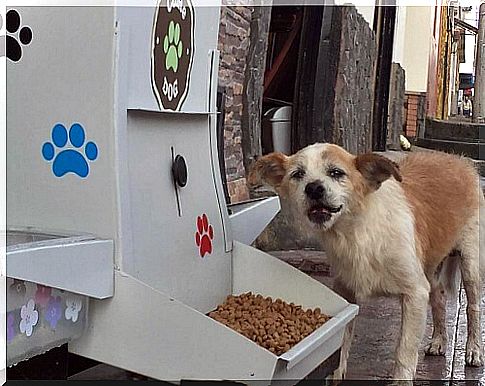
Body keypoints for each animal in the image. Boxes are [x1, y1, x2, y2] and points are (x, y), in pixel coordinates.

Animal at [248, 143, 482, 382]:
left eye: (336, 172)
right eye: (298, 174)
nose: (313, 188)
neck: (356, 233)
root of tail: (458, 159)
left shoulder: (415, 292)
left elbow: (404, 352)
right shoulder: (346, 292)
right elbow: (341, 343)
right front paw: (336, 374)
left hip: (469, 265)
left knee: (472, 308)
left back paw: (473, 350)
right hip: (430, 268)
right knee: (439, 300)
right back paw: (438, 341)